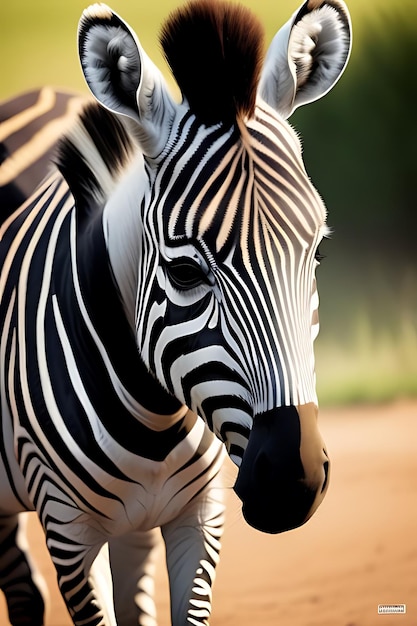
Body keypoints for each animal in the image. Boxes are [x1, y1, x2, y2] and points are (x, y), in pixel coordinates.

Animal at [0, 1, 352, 624]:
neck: (156, 418)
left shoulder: (199, 517)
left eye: (316, 255)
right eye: (186, 273)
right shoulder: (68, 533)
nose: (294, 479)